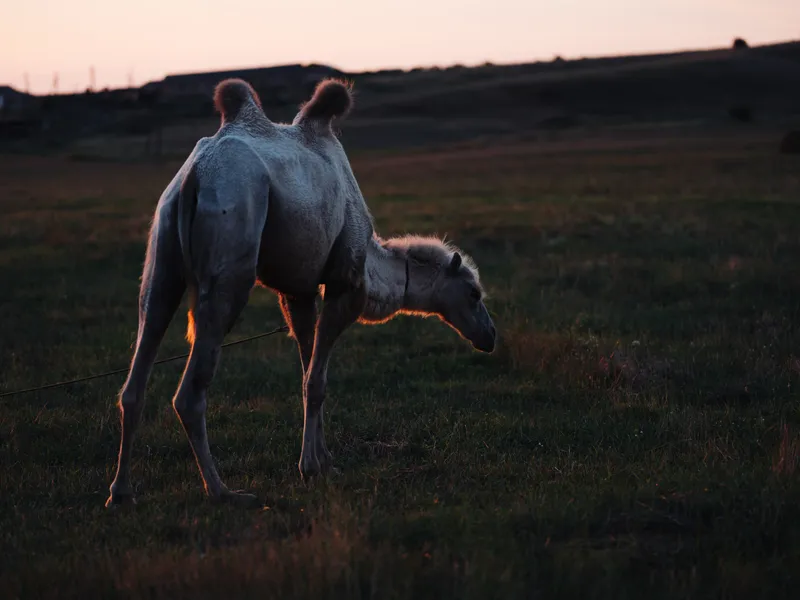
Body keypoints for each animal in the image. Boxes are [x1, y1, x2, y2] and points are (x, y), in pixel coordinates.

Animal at [106, 78, 496, 507]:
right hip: (232, 254)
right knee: (190, 391)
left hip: (162, 258)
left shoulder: (298, 293)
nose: (490, 336)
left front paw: (324, 459)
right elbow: (317, 380)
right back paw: (223, 491)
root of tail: (195, 175)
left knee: (139, 365)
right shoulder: (344, 285)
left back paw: (121, 492)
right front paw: (310, 467)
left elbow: (309, 369)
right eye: (474, 293)